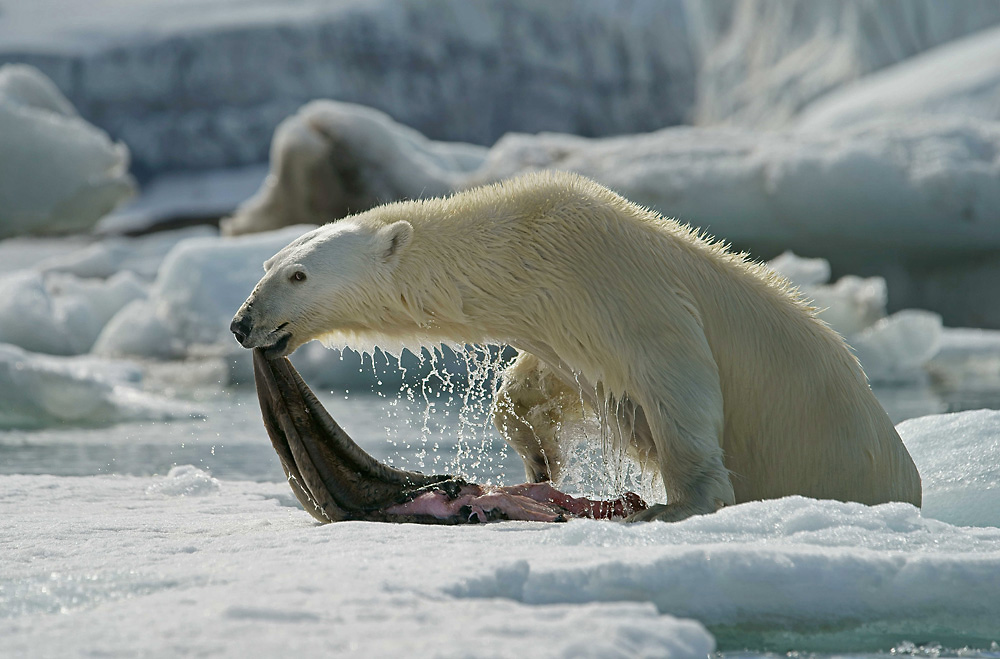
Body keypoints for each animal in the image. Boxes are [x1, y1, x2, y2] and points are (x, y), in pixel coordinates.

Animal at [232, 173, 920, 524]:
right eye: (268, 263)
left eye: (298, 275)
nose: (243, 323)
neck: (526, 242)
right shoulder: (560, 314)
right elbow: (545, 382)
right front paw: (539, 458)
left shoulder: (626, 288)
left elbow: (678, 376)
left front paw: (675, 505)